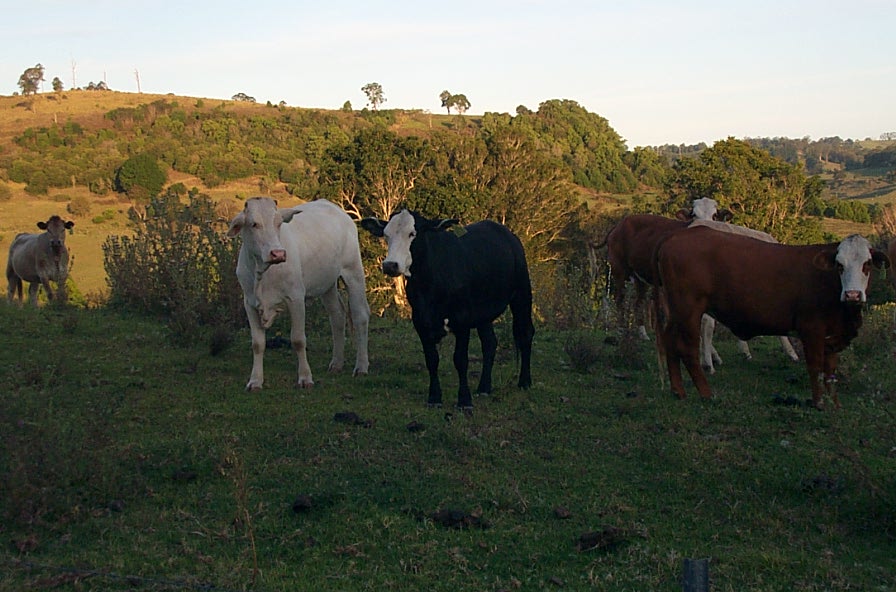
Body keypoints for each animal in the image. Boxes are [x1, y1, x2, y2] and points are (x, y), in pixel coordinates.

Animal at [227, 198, 370, 391]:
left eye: (279, 223)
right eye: (253, 224)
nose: (278, 253)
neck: (262, 272)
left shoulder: (296, 298)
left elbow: (298, 340)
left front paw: (305, 378)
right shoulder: (249, 303)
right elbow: (257, 344)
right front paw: (255, 381)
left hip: (353, 271)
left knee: (360, 316)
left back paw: (361, 366)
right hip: (327, 284)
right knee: (337, 316)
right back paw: (336, 363)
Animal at [361, 210, 534, 410]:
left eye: (412, 234)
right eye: (386, 235)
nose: (390, 265)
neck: (429, 285)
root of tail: (506, 233)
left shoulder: (462, 319)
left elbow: (460, 359)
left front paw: (464, 400)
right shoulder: (421, 321)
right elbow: (431, 359)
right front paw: (434, 397)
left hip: (522, 294)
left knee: (525, 334)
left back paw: (524, 382)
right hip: (483, 312)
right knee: (490, 343)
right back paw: (484, 387)